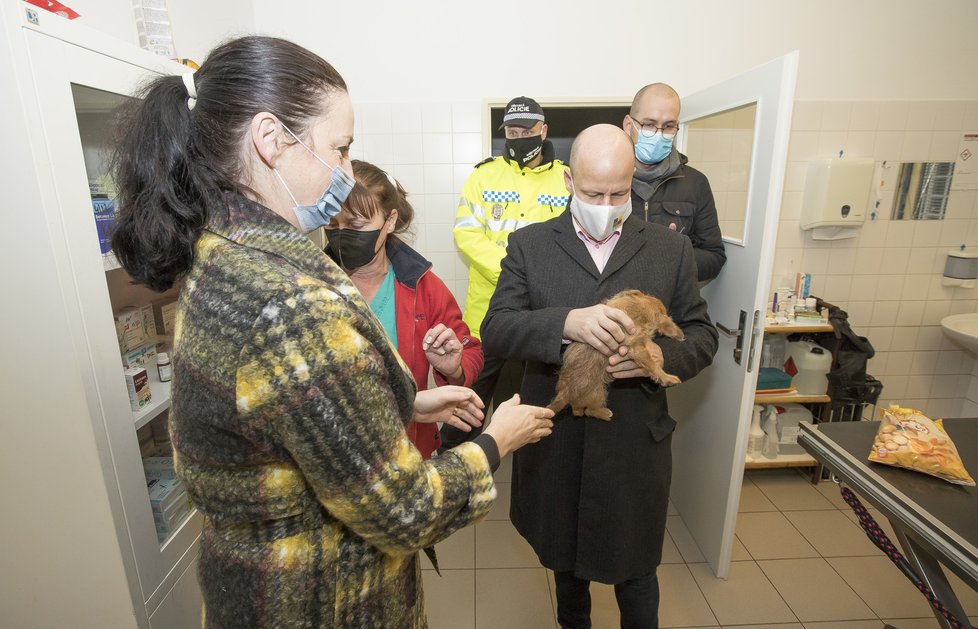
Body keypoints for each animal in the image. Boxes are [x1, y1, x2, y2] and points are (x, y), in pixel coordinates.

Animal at [544, 290, 684, 420]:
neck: (638, 308)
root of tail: (564, 393)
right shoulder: (637, 348)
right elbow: (653, 364)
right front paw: (667, 378)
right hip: (598, 393)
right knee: (588, 411)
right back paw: (605, 414)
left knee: (578, 411)